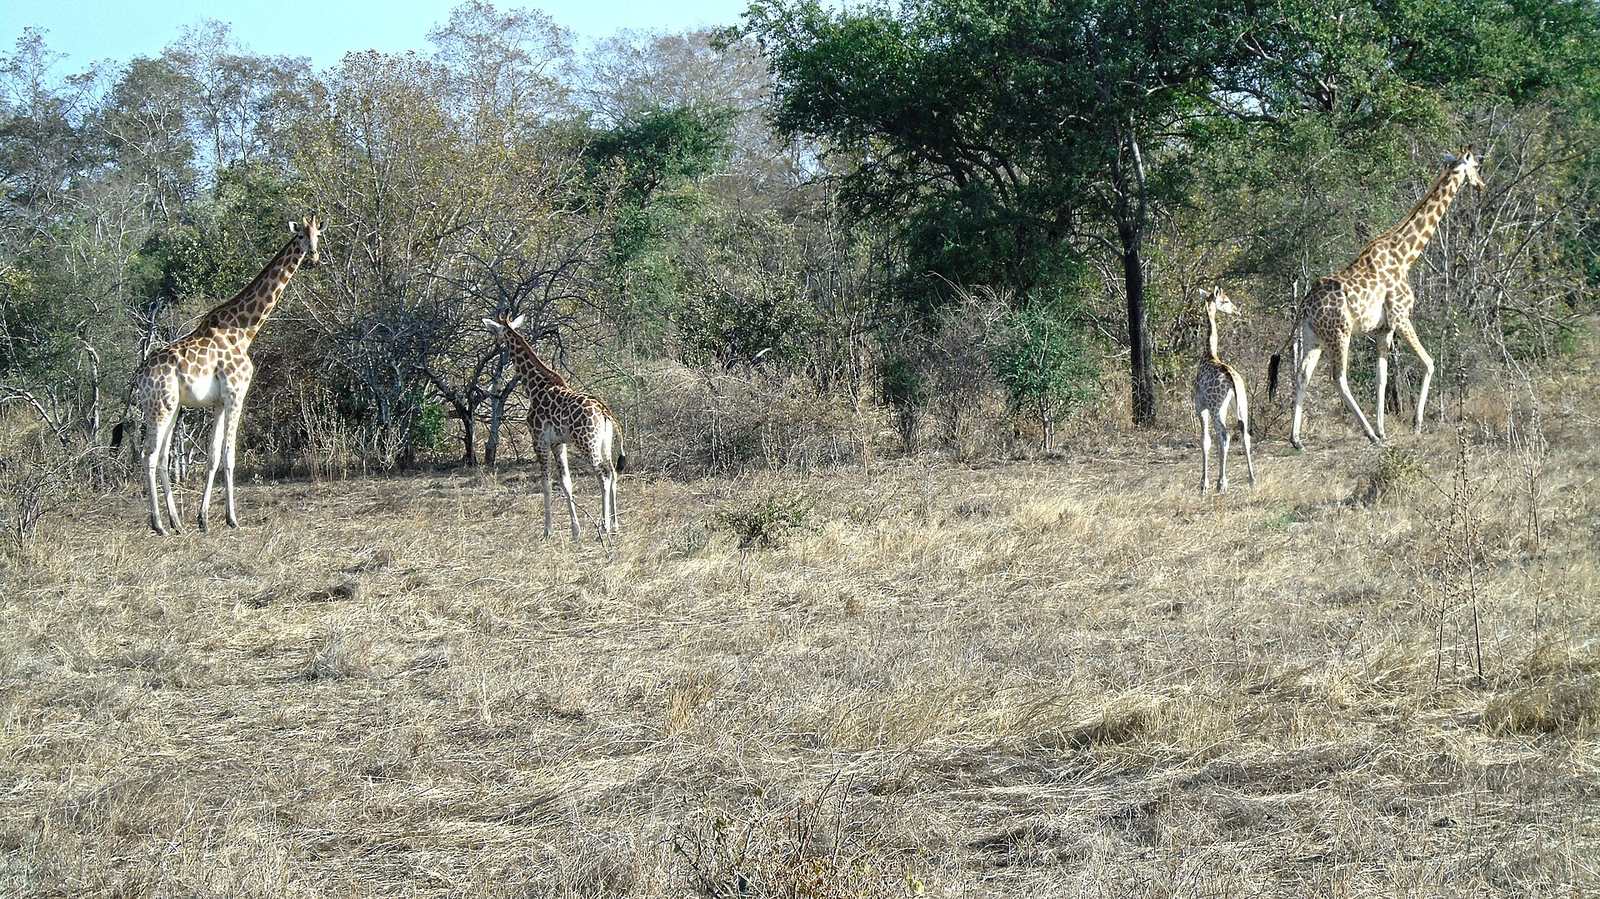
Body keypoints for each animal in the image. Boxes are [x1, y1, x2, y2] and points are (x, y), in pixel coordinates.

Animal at [133, 216, 322, 535]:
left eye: (317, 235)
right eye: (299, 236)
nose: (314, 256)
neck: (244, 331)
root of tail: (140, 375)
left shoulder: (219, 402)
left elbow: (211, 457)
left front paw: (203, 519)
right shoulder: (236, 393)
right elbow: (229, 456)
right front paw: (232, 518)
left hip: (172, 406)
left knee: (162, 457)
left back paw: (176, 523)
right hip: (160, 405)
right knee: (149, 455)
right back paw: (158, 525)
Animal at [481, 314, 626, 540]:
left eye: (495, 331)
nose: (495, 346)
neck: (534, 386)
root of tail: (605, 412)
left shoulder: (539, 440)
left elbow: (546, 484)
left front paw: (547, 531)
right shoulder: (559, 443)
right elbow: (566, 483)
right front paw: (575, 531)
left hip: (587, 444)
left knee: (603, 476)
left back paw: (604, 528)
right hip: (603, 444)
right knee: (612, 473)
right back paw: (615, 525)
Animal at [1193, 286, 1256, 494]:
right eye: (1226, 300)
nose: (1237, 311)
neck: (1210, 354)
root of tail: (1231, 380)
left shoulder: (1201, 407)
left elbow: (1205, 441)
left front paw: (1204, 484)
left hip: (1216, 407)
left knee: (1224, 435)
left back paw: (1222, 483)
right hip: (1242, 403)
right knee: (1245, 434)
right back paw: (1252, 480)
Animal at [1268, 147, 1485, 449]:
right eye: (1476, 165)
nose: (1481, 186)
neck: (1405, 255)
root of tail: (1305, 306)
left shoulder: (1384, 329)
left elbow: (1381, 378)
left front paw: (1384, 429)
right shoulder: (1401, 317)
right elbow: (1429, 362)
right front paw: (1414, 424)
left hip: (1314, 336)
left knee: (1302, 375)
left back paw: (1297, 439)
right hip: (1340, 333)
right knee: (1339, 378)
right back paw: (1368, 434)